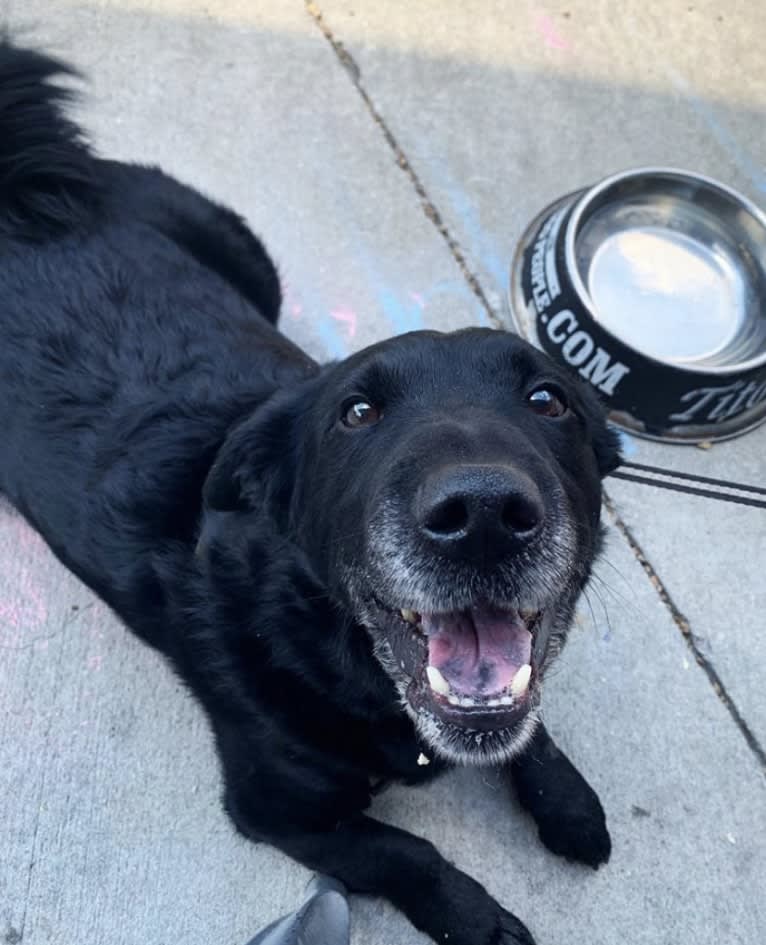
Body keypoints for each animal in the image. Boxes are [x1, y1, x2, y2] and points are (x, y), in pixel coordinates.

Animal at [0, 42, 620, 944]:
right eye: (354, 413)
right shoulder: (275, 807)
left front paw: (568, 800)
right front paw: (479, 919)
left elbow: (528, 719)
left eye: (551, 400)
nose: (483, 515)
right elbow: (407, 851)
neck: (331, 647)